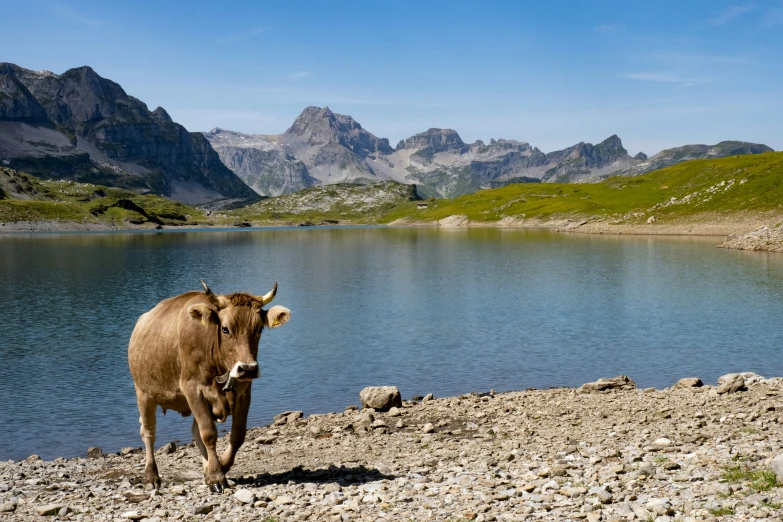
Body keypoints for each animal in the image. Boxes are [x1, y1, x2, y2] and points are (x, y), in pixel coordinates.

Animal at [129, 280, 290, 488]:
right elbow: (208, 433)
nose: (247, 368)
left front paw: (220, 466)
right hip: (143, 392)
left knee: (193, 430)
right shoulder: (192, 389)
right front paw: (216, 476)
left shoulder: (244, 392)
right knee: (149, 432)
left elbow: (237, 435)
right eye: (225, 329)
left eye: (259, 329)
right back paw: (151, 476)